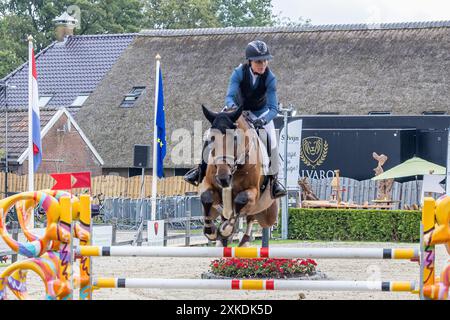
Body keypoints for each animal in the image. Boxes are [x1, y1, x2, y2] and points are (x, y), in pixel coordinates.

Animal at [200, 105, 278, 248]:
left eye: (235, 139)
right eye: (211, 139)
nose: (223, 178)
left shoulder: (253, 192)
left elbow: (240, 201)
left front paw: (226, 229)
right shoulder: (210, 186)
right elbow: (206, 198)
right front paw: (211, 232)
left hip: (267, 211)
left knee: (250, 217)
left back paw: (243, 240)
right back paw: (222, 239)